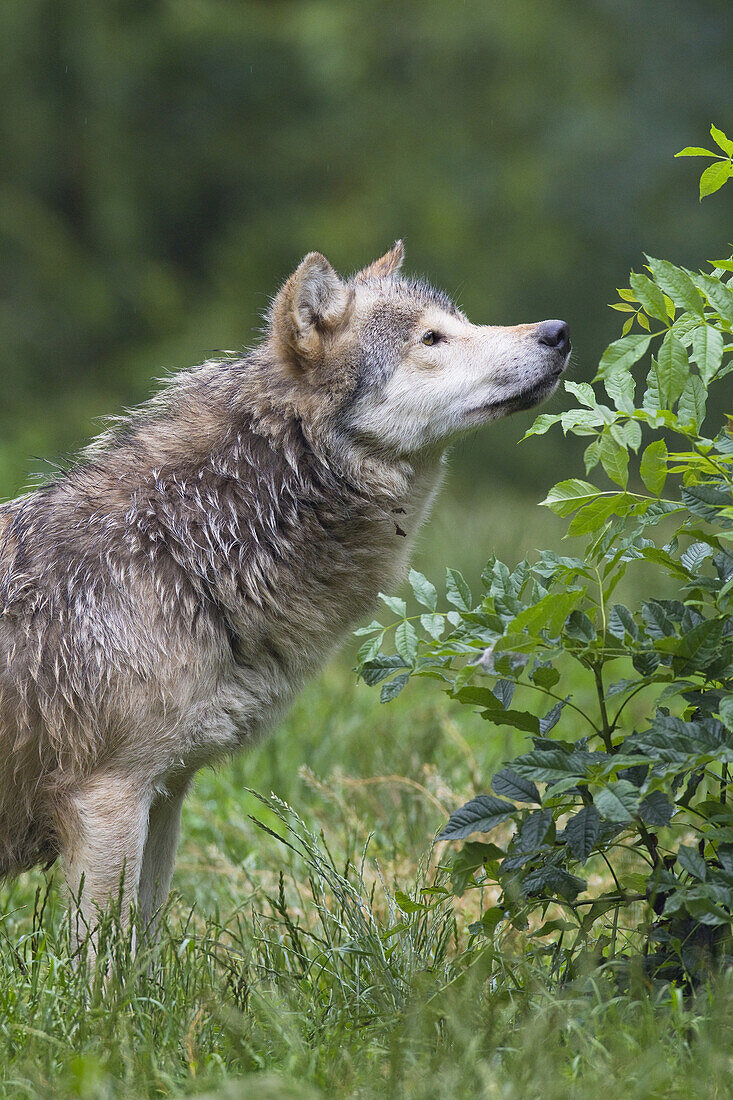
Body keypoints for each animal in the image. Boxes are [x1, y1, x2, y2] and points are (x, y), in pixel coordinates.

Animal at [0, 243, 567, 937]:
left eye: (460, 322)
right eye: (432, 338)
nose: (559, 331)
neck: (193, 546)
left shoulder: (166, 793)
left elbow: (147, 944)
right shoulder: (106, 797)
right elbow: (105, 956)